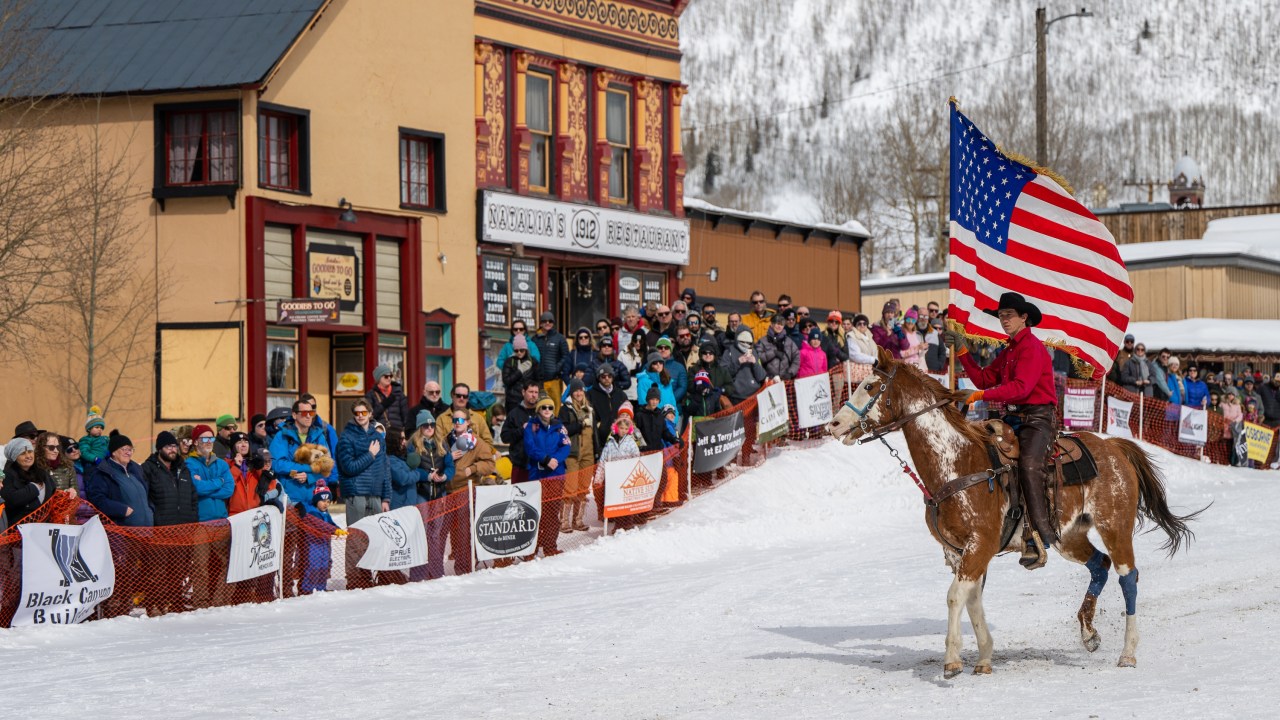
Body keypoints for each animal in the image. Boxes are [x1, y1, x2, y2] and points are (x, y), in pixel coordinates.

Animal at [829, 345, 1198, 676]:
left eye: (870, 386)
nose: (833, 424)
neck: (958, 462)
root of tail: (1113, 446)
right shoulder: (959, 552)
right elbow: (972, 599)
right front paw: (983, 658)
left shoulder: (979, 544)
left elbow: (954, 597)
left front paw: (952, 661)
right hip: (1068, 537)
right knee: (1100, 565)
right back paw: (1089, 633)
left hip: (1115, 526)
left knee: (1128, 577)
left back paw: (1128, 653)